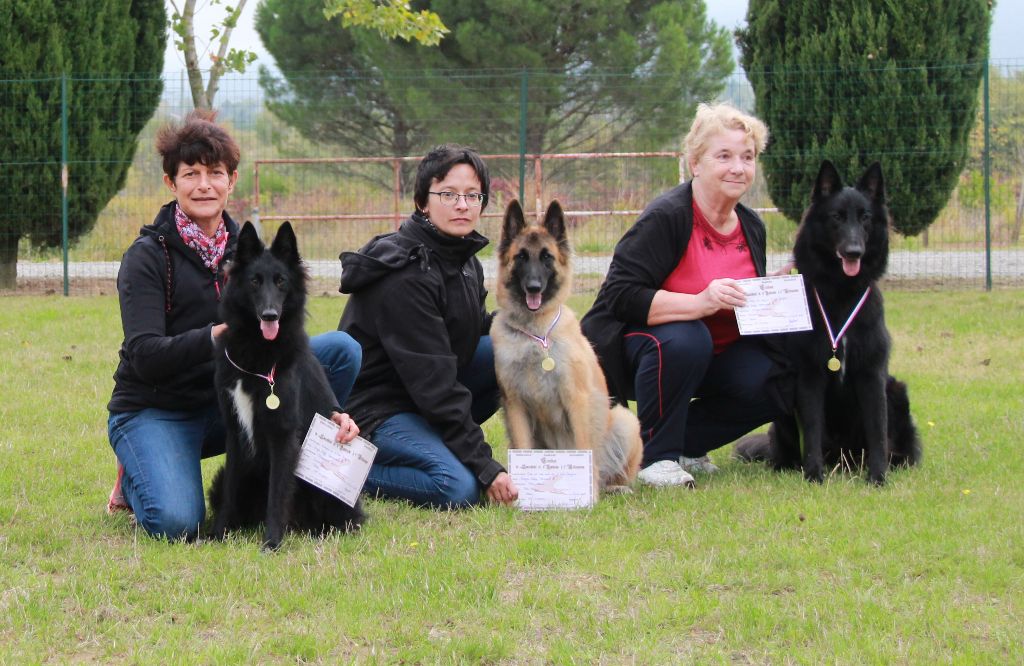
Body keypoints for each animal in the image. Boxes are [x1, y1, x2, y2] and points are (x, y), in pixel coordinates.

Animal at [209, 220, 366, 549]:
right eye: (255, 281)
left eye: (281, 281)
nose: (270, 315)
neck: (257, 352)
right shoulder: (235, 434)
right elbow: (230, 491)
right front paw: (218, 534)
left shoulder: (282, 435)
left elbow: (277, 493)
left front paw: (271, 542)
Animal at [489, 196, 638, 491]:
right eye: (521, 257)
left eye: (547, 257)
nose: (534, 287)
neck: (535, 333)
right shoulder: (516, 407)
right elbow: (523, 447)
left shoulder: (576, 400)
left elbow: (583, 445)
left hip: (625, 421)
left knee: (609, 471)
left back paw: (613, 487)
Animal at [737, 160, 921, 481]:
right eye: (836, 217)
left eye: (865, 218)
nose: (854, 252)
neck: (841, 295)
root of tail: (842, 458)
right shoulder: (809, 376)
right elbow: (811, 430)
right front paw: (813, 475)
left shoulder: (872, 375)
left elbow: (877, 430)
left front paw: (877, 477)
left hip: (896, 390)